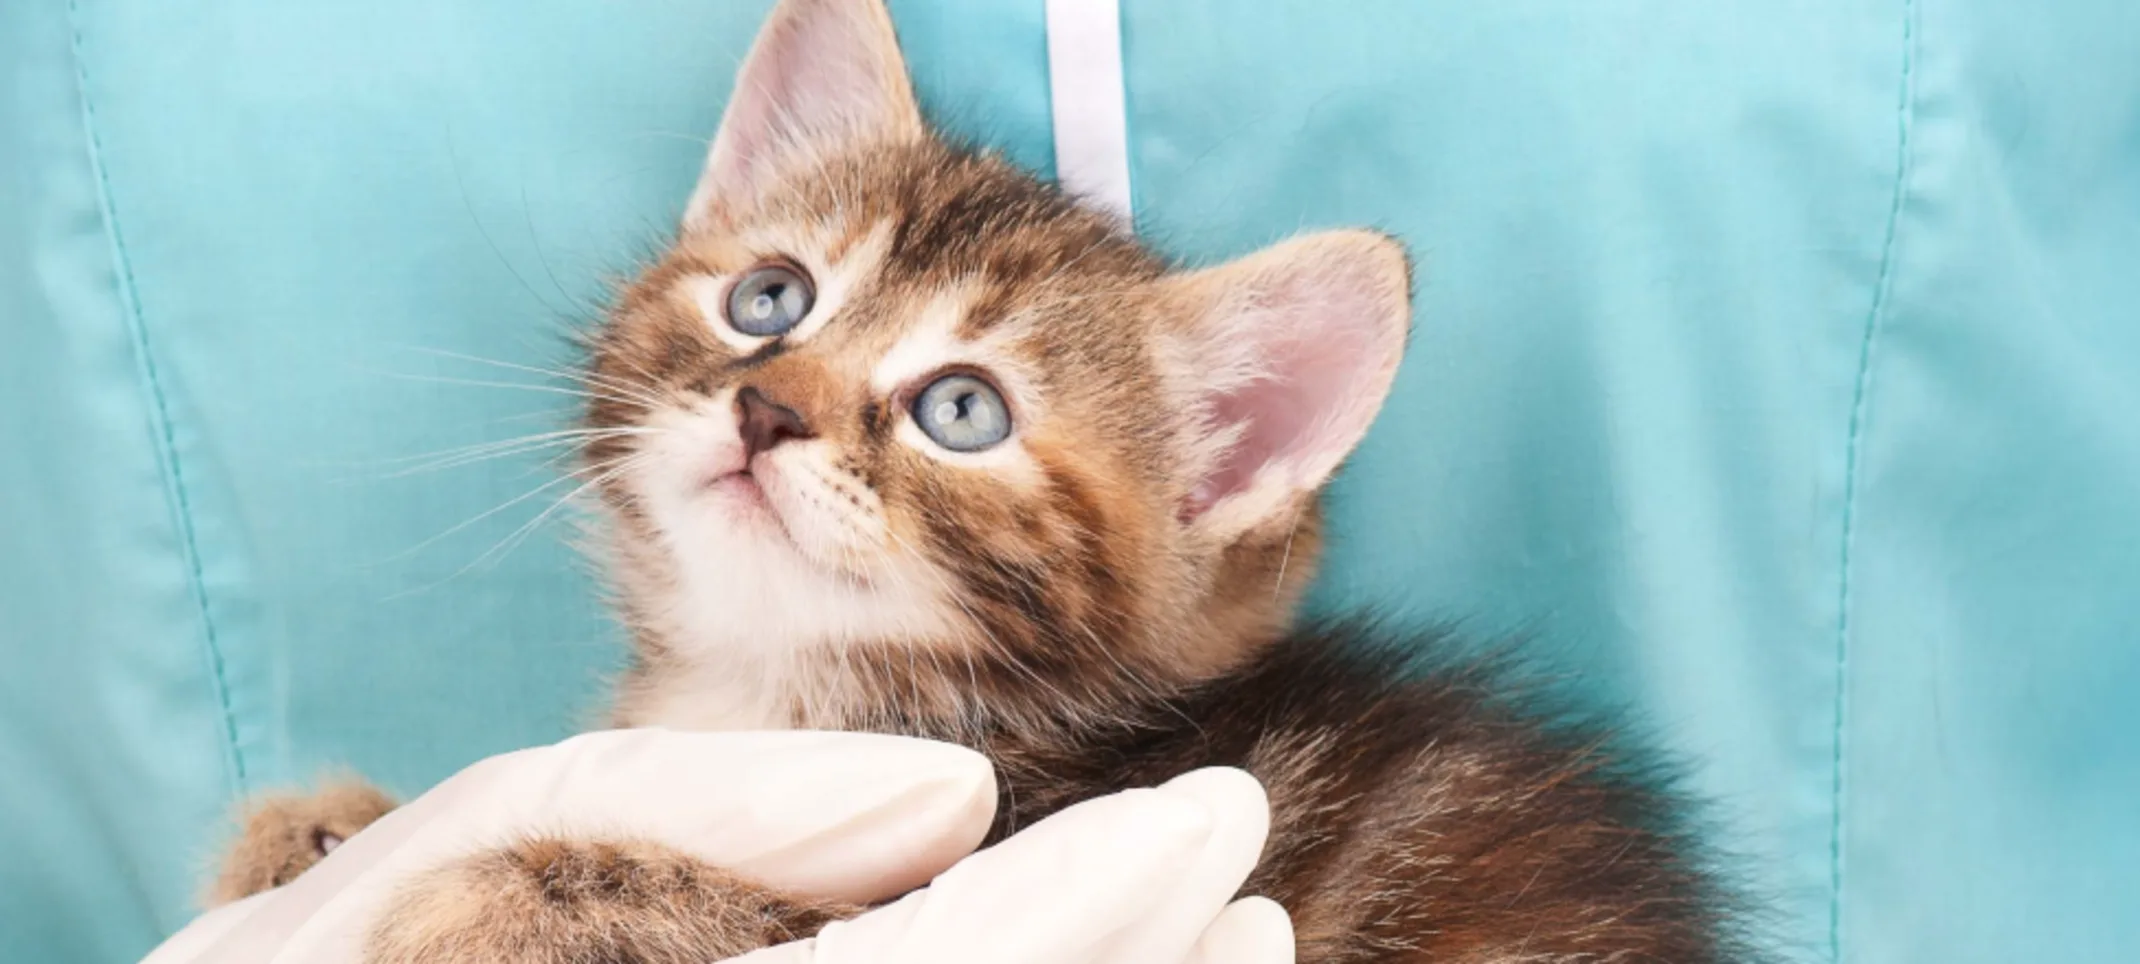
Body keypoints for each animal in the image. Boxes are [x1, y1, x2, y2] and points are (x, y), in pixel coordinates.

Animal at [212, 1, 1754, 955]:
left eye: (963, 410)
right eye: (771, 298)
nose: (766, 407)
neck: (766, 702)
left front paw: (485, 891)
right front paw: (316, 837)